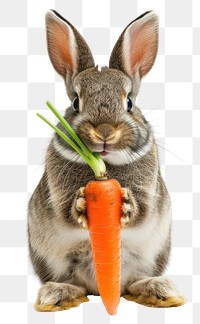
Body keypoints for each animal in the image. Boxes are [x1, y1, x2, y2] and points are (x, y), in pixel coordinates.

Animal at [28, 9, 184, 308]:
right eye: (75, 102)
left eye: (130, 102)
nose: (104, 131)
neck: (104, 167)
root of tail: (99, 290)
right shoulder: (57, 193)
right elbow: (65, 211)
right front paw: (80, 205)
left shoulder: (148, 192)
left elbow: (142, 211)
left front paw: (126, 205)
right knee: (76, 283)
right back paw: (57, 294)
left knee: (130, 283)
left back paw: (159, 289)